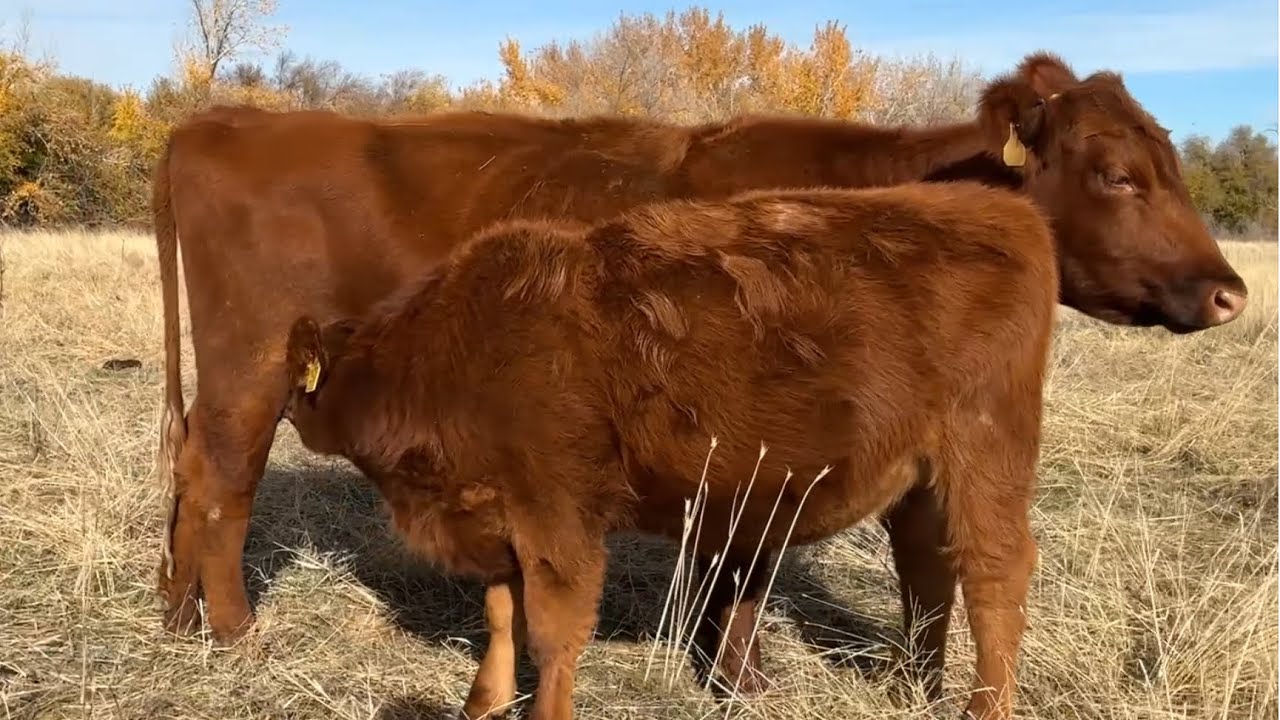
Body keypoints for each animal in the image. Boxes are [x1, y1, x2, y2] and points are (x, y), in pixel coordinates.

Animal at [278, 180, 1060, 720]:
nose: (286, 415)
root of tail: (1003, 209)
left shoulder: (557, 518)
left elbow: (554, 633)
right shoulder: (497, 517)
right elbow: (500, 614)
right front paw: (482, 701)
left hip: (986, 450)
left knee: (994, 572)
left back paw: (984, 706)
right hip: (923, 479)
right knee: (928, 565)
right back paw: (911, 688)